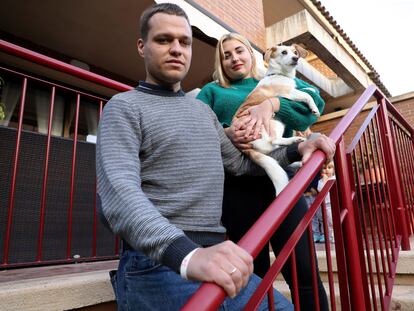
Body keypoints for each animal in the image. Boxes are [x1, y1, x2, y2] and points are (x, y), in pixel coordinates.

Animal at [233, 44, 320, 195]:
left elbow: (307, 90)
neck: (280, 74)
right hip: (274, 122)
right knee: (274, 140)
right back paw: (294, 139)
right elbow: (306, 95)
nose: (296, 58)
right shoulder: (289, 93)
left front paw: (313, 90)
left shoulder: (293, 89)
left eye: (295, 52)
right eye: (284, 52)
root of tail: (247, 148)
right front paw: (314, 108)